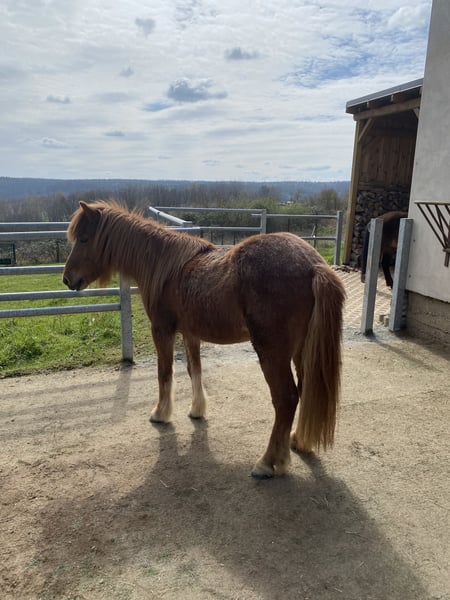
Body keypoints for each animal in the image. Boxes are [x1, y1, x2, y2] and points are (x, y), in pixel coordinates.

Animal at [63, 200, 346, 479]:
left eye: (85, 239)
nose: (67, 279)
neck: (163, 266)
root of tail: (313, 265)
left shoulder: (162, 330)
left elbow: (164, 373)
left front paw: (161, 413)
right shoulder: (190, 333)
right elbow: (194, 370)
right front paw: (197, 410)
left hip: (272, 353)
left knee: (286, 399)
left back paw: (268, 463)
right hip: (301, 351)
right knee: (305, 389)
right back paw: (296, 442)